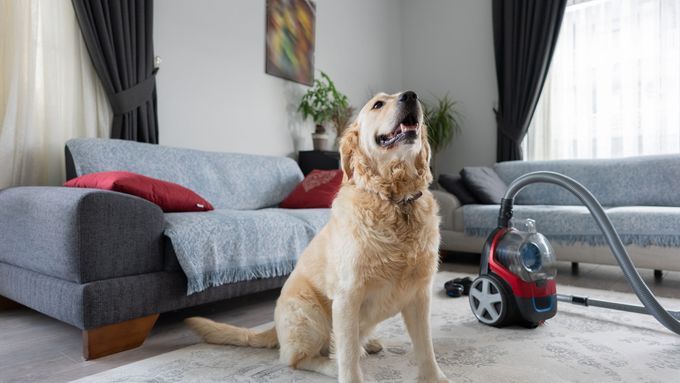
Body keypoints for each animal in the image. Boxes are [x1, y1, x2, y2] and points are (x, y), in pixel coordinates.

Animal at [189, 91, 448, 382]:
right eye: (378, 104)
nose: (411, 96)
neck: (395, 201)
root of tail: (274, 327)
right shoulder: (347, 298)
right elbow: (347, 356)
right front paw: (351, 374)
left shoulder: (420, 296)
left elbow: (426, 348)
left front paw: (435, 378)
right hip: (309, 313)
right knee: (298, 359)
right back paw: (333, 365)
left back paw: (369, 343)